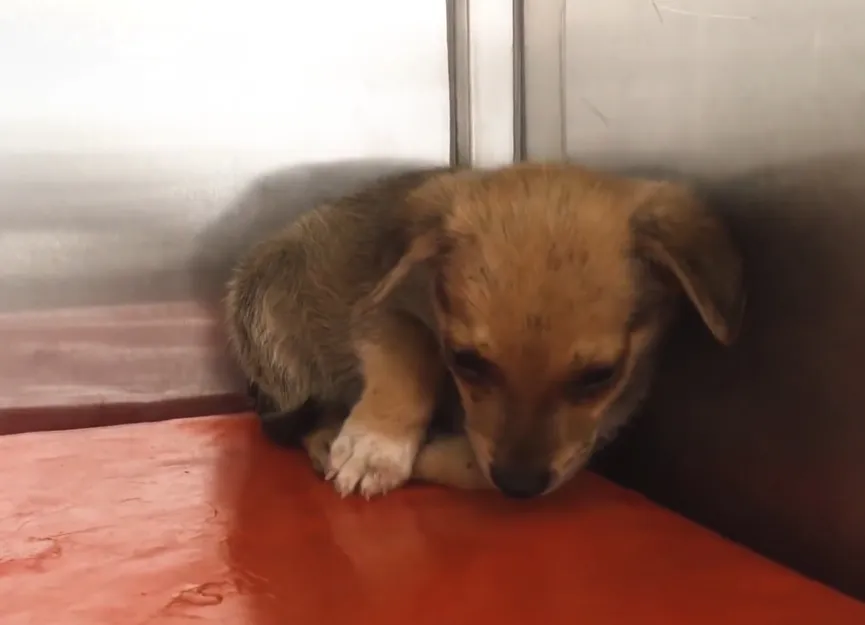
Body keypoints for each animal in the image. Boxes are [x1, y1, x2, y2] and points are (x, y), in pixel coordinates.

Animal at [223, 161, 744, 498]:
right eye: (466, 361)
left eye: (600, 376)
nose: (519, 486)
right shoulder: (384, 313)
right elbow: (410, 359)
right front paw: (377, 445)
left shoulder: (593, 432)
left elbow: (478, 467)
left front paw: (425, 454)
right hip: (266, 313)